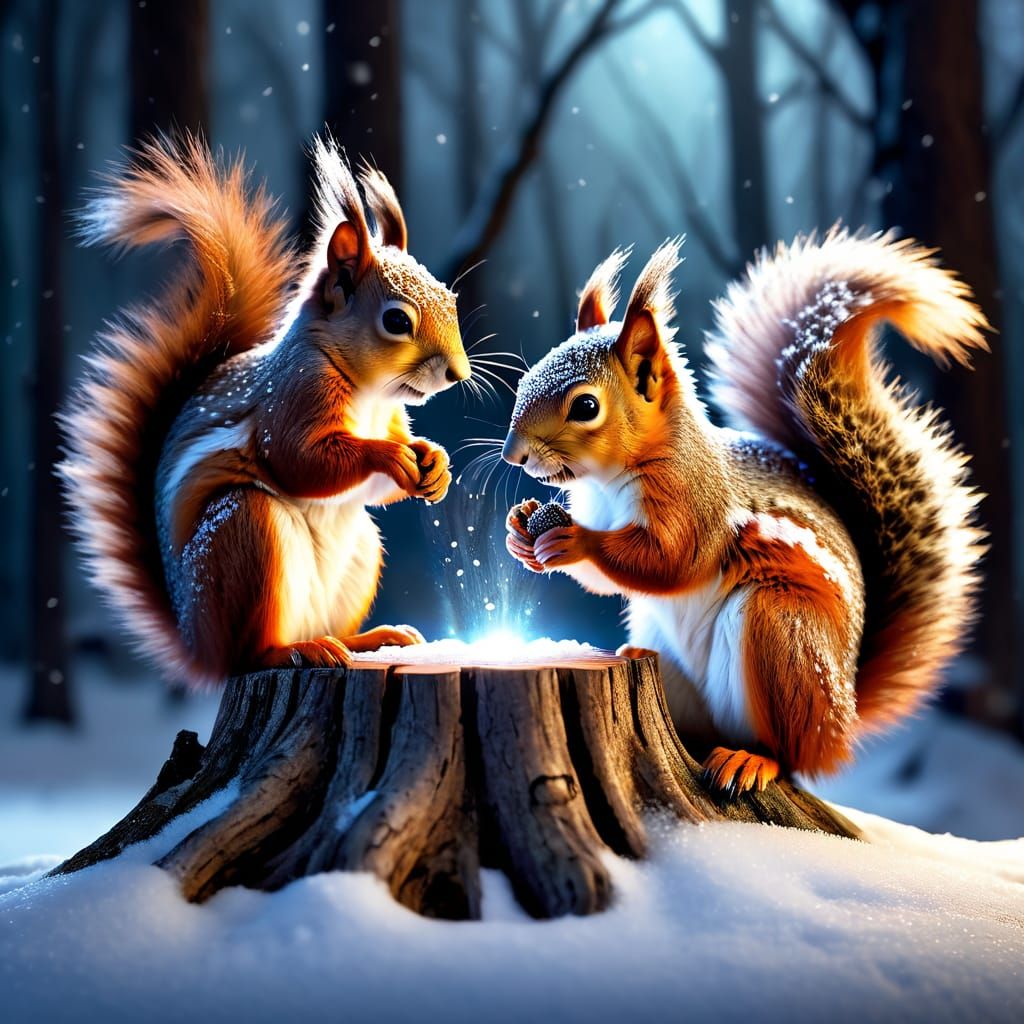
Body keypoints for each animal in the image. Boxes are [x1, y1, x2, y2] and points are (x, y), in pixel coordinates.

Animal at [59, 134, 470, 686]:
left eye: (451, 301)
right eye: (397, 321)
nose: (458, 373)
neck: (370, 393)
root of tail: (199, 649)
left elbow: (380, 480)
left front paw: (434, 462)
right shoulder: (294, 397)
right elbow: (301, 462)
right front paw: (389, 457)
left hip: (359, 555)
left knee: (334, 628)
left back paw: (367, 639)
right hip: (245, 536)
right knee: (250, 652)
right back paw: (296, 650)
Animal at [503, 230, 988, 794]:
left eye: (585, 406)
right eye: (527, 380)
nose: (514, 455)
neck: (606, 481)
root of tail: (841, 720)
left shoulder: (694, 502)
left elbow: (671, 561)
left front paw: (575, 541)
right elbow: (608, 580)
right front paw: (521, 530)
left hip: (782, 635)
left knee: (788, 753)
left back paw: (752, 760)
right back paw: (637, 660)